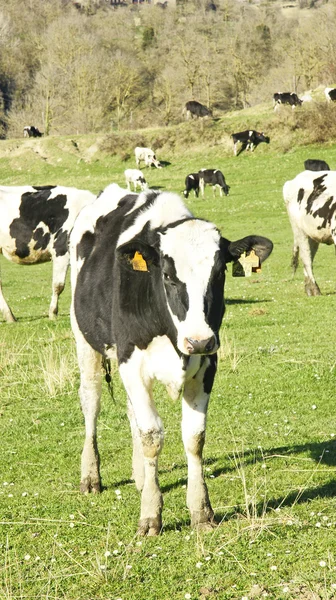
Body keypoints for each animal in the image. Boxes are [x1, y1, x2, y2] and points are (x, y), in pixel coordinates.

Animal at [69, 183, 272, 536]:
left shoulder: (207, 365)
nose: (198, 340)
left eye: (220, 272)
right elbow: (152, 435)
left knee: (130, 411)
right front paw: (151, 514)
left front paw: (201, 510)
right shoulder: (131, 361)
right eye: (166, 274)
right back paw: (91, 476)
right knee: (91, 401)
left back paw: (139, 475)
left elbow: (194, 436)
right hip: (85, 341)